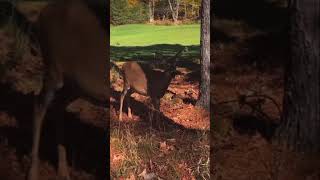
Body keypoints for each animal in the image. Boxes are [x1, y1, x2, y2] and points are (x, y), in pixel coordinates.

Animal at [1, 0, 109, 179]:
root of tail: (42, 13)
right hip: (53, 67)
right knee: (39, 103)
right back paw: (33, 172)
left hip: (75, 84)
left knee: (58, 105)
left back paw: (63, 170)